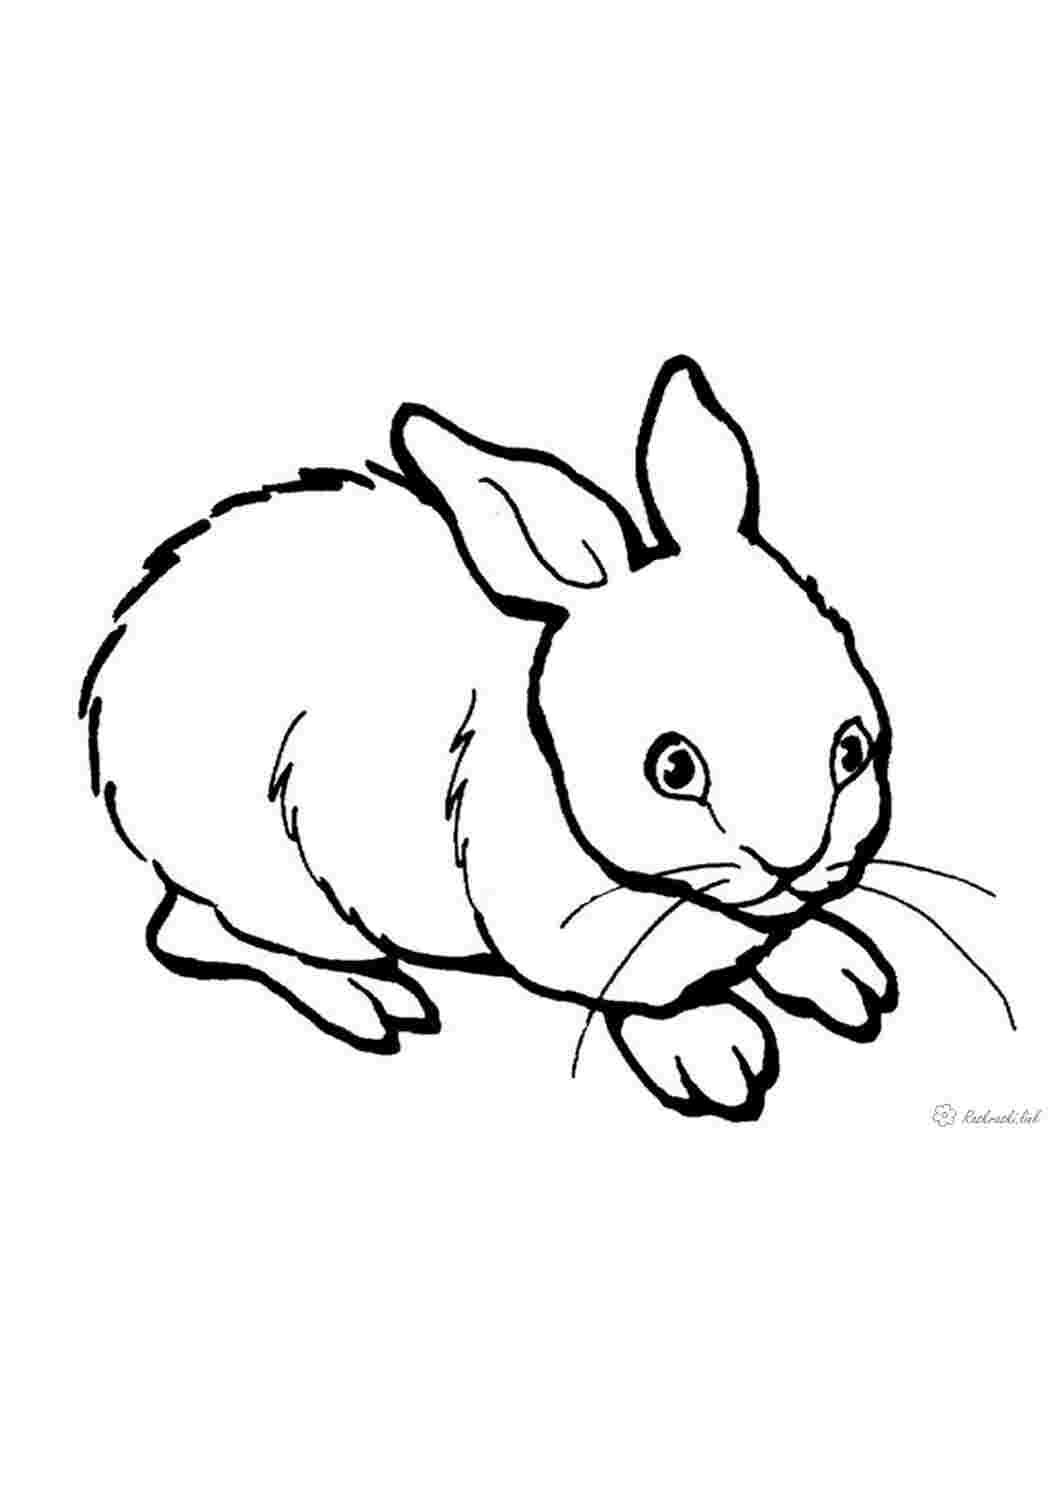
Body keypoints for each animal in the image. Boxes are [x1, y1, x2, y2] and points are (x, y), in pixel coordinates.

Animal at [79, 354, 898, 1120]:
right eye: (673, 769)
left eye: (853, 751)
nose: (794, 862)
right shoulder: (557, 919)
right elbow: (642, 986)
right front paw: (709, 1049)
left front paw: (842, 967)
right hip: (266, 875)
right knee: (193, 936)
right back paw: (367, 997)